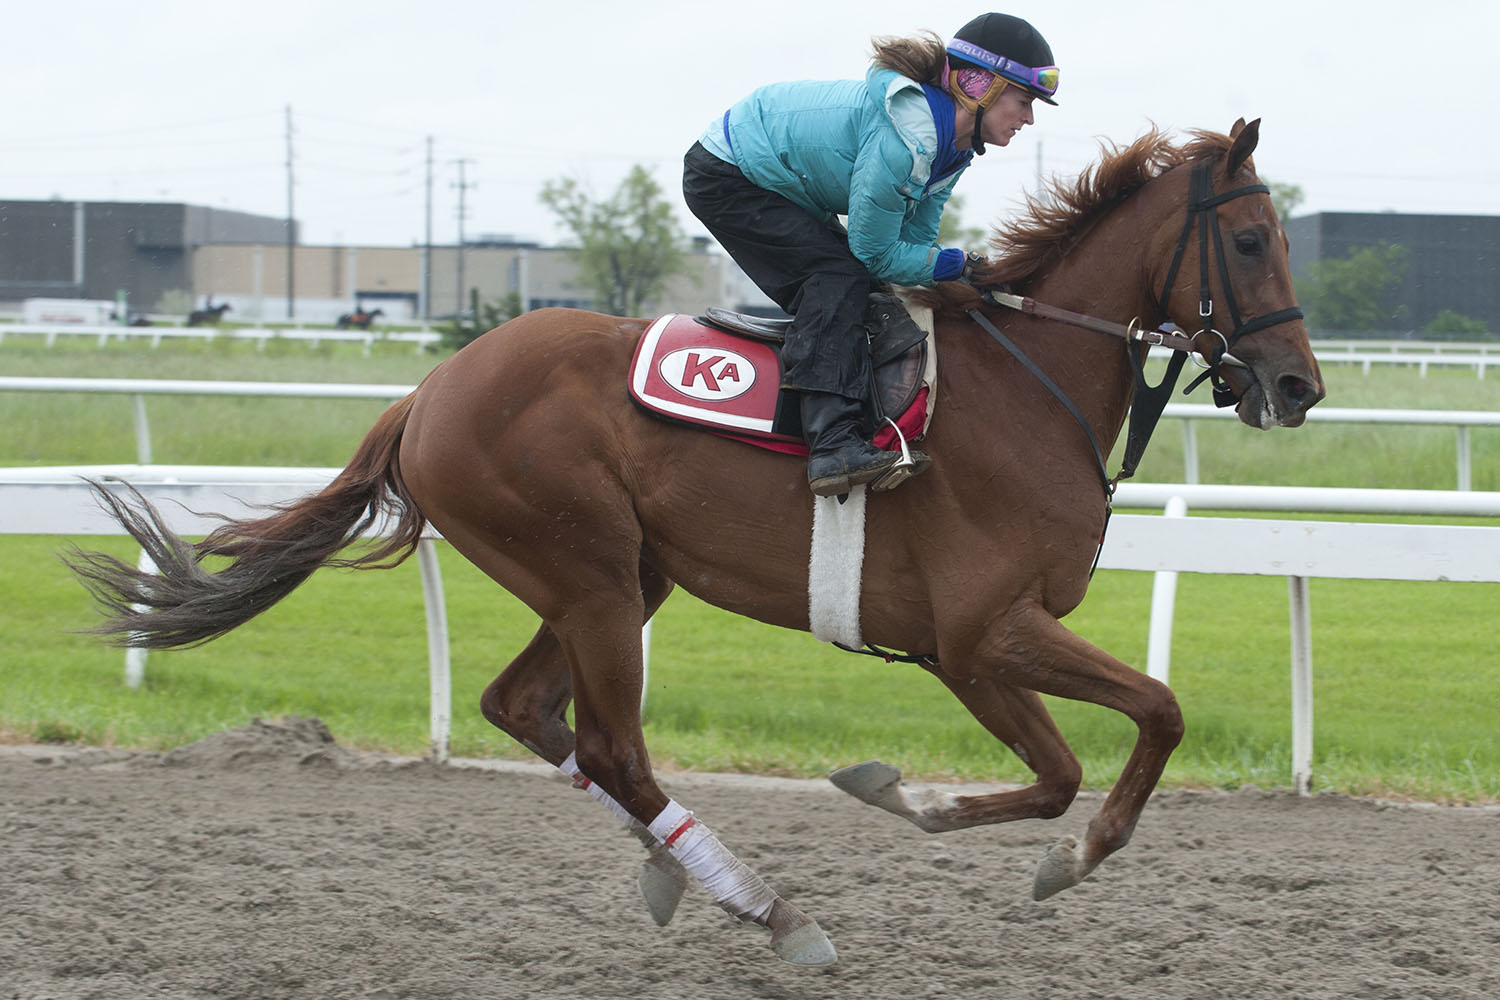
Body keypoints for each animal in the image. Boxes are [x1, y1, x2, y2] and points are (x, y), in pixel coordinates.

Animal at [67, 119, 1326, 971]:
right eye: (1250, 238)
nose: (1299, 387)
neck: (1030, 391)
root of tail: (428, 392)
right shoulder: (977, 635)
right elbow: (1120, 735)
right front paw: (984, 827)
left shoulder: (974, 644)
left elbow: (1099, 747)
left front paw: (939, 810)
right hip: (587, 578)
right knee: (612, 745)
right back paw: (774, 910)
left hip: (623, 577)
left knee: (526, 708)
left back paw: (674, 867)